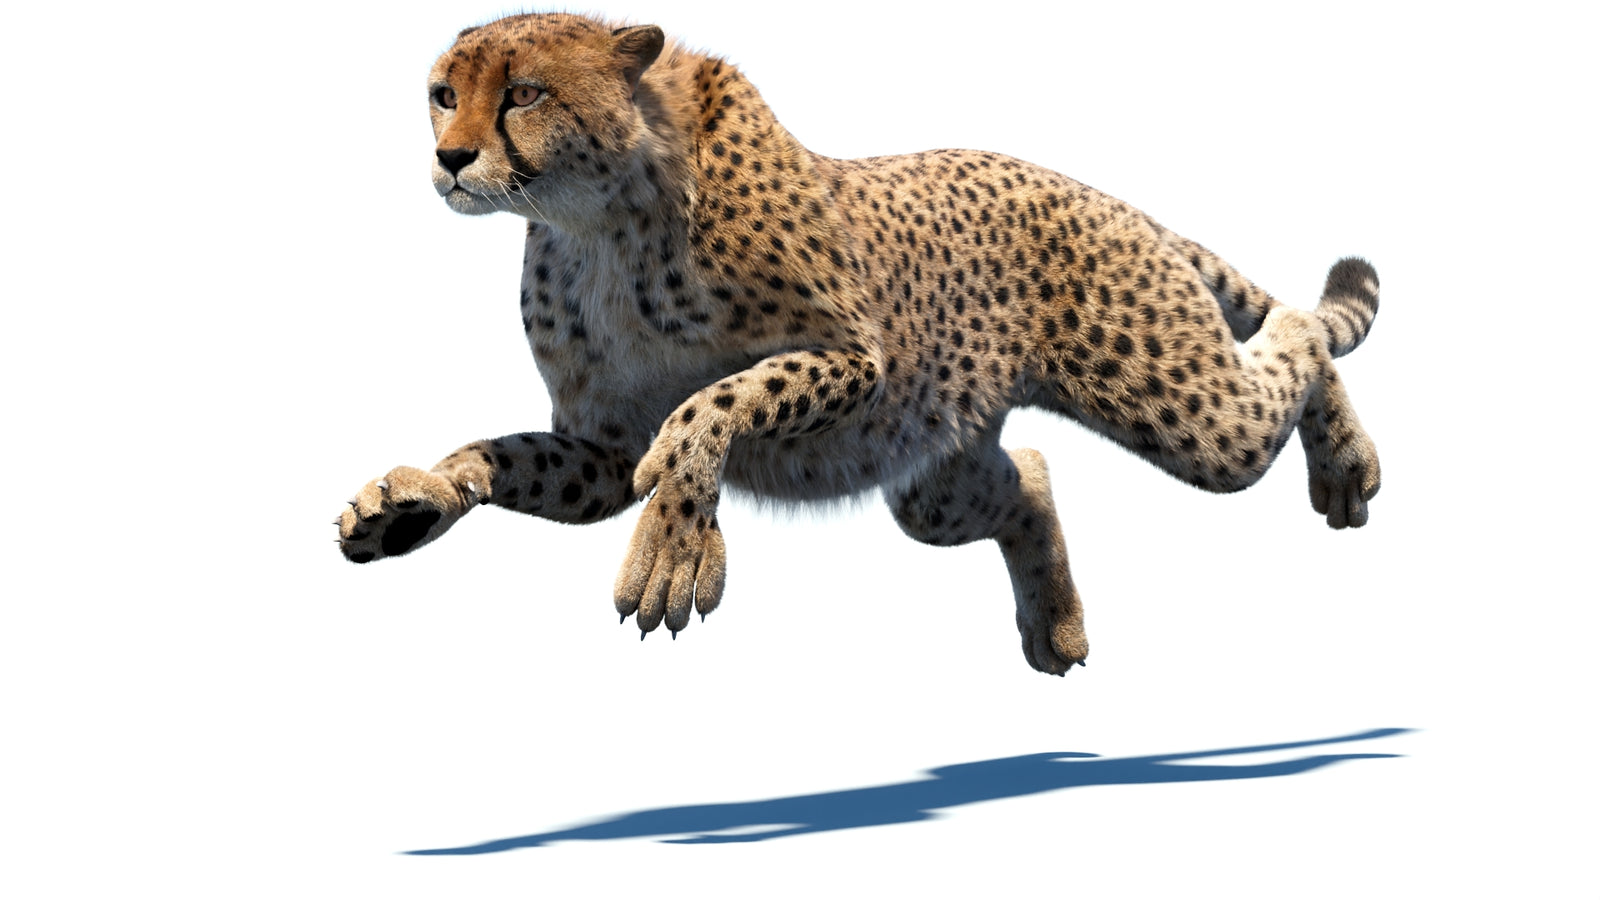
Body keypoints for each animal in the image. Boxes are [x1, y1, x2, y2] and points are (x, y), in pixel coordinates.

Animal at [335, 12, 1382, 675]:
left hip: (1181, 405)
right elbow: (501, 454)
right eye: (442, 94)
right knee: (1030, 475)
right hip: (933, 478)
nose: (450, 158)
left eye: (523, 93)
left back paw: (1345, 466)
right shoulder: (599, 448)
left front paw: (675, 543)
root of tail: (1095, 192)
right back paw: (1057, 625)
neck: (596, 218)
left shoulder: (859, 362)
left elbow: (718, 400)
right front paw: (410, 501)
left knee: (1292, 337)